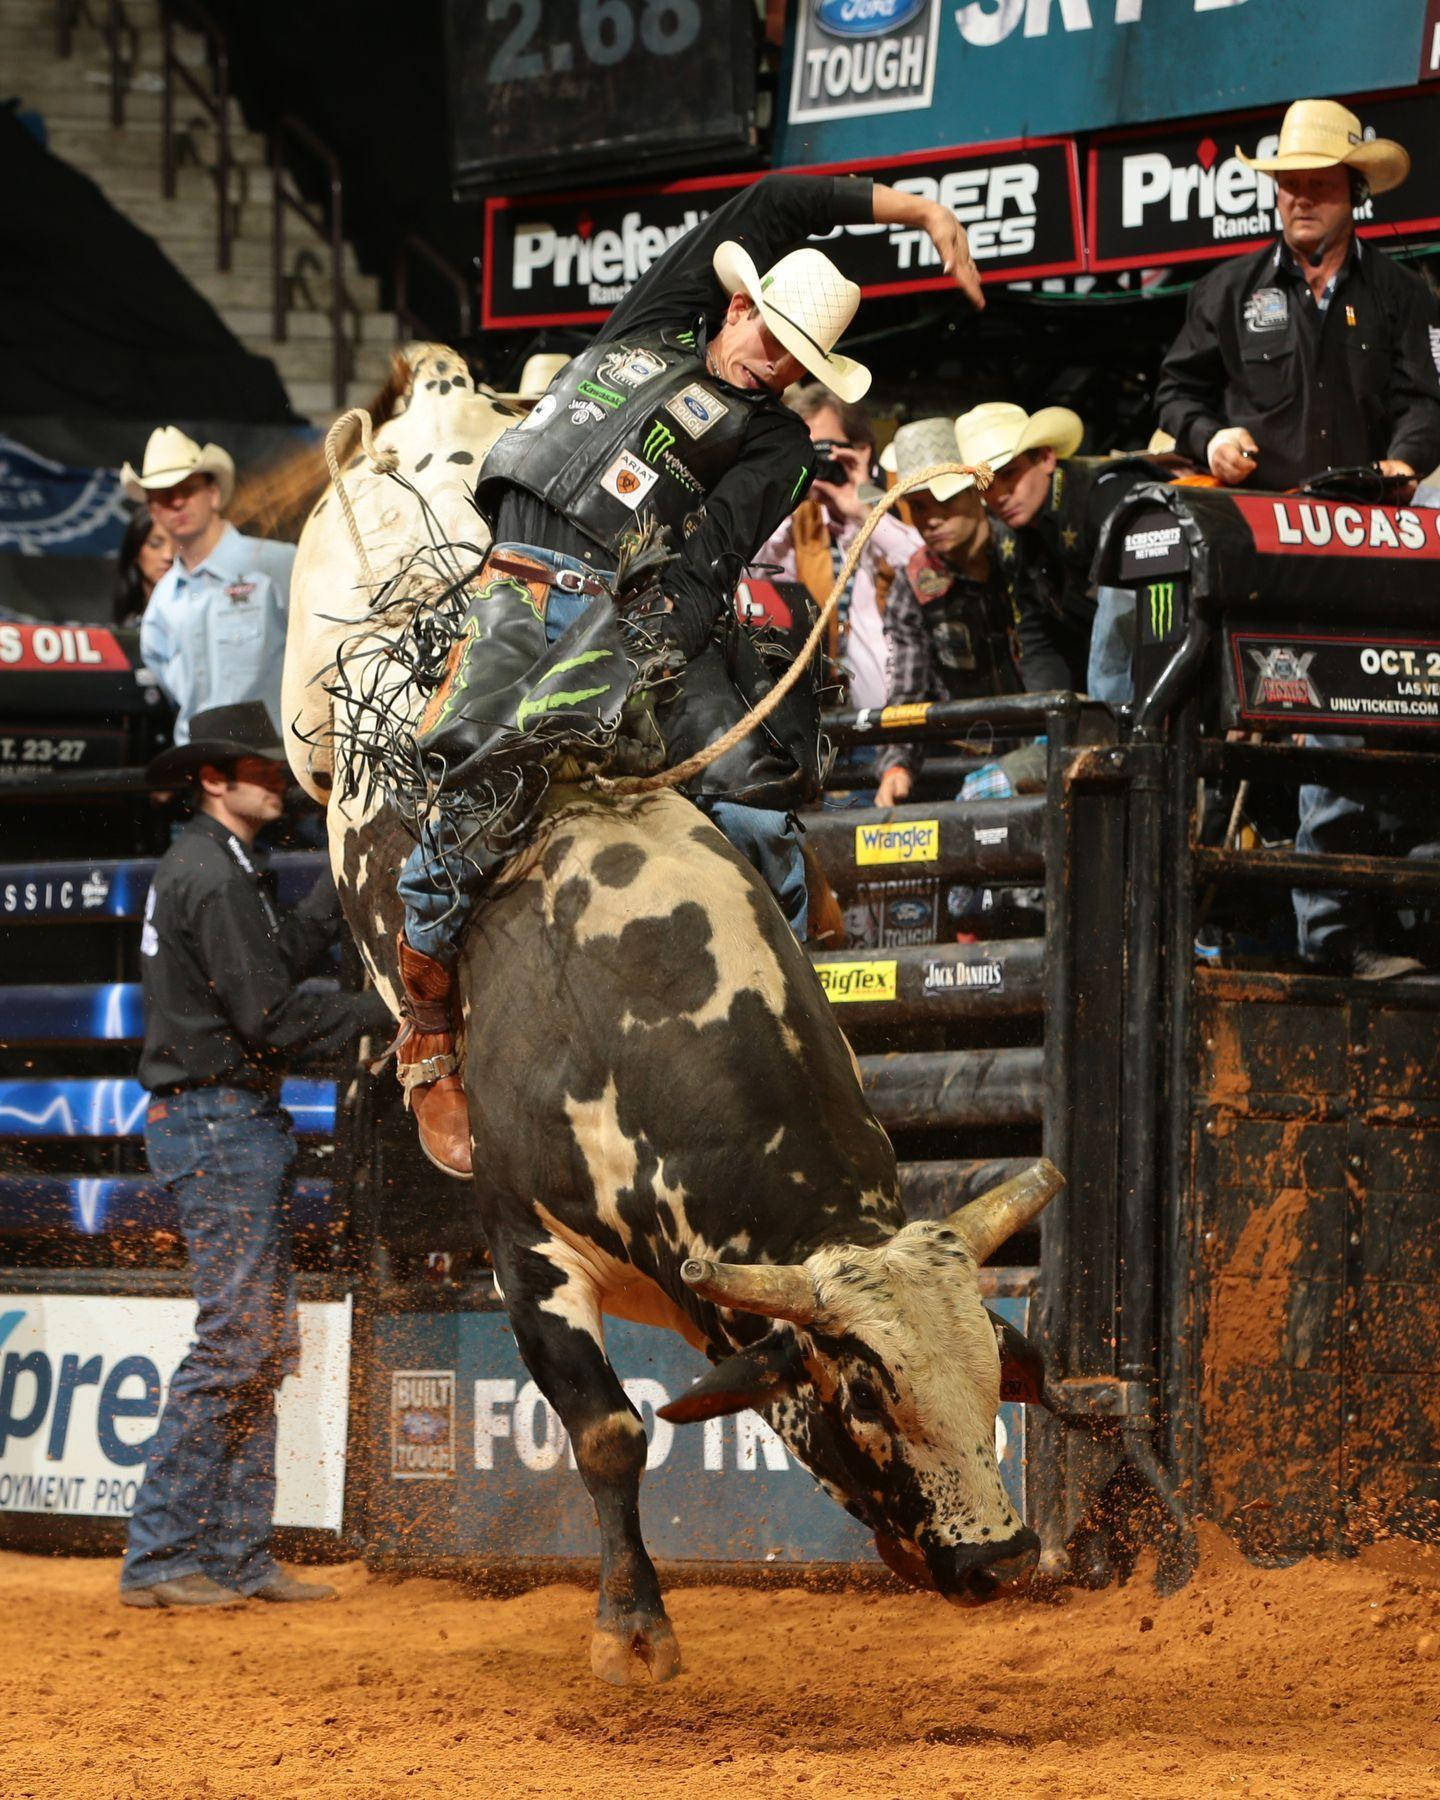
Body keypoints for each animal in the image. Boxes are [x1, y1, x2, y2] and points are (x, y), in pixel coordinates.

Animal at [284, 347, 1065, 1684]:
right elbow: (609, 1432)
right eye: (868, 1393)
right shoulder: (526, 1241)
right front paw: (632, 1630)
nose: (1003, 1558)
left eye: (988, 1370)